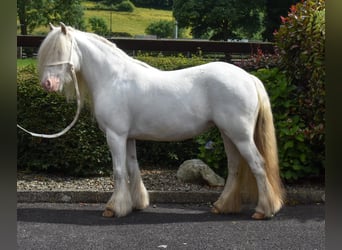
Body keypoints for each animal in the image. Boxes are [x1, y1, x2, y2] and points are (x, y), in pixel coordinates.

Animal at [36, 23, 284, 219]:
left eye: (59, 50)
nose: (47, 84)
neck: (113, 78)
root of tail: (249, 78)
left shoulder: (115, 135)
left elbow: (119, 170)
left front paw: (114, 208)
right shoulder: (128, 137)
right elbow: (132, 168)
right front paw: (136, 204)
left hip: (240, 136)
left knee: (257, 165)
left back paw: (263, 211)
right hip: (228, 134)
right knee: (234, 167)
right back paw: (222, 206)